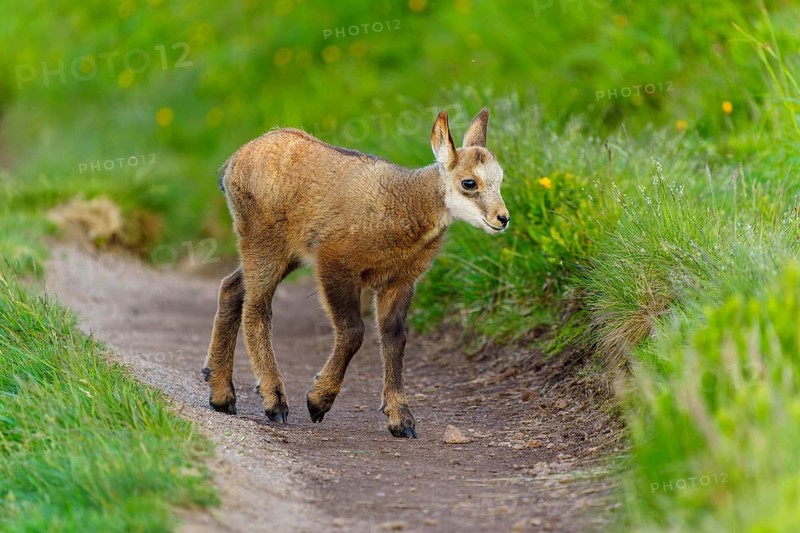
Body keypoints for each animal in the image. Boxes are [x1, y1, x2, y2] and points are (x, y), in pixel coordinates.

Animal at [202, 108, 509, 438]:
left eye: (500, 180)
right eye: (469, 183)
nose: (502, 218)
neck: (405, 203)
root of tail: (233, 163)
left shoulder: (399, 281)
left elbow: (395, 338)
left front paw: (402, 420)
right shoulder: (335, 263)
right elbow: (353, 332)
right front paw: (318, 402)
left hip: (286, 254)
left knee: (232, 288)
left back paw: (221, 394)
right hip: (264, 242)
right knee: (257, 308)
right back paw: (275, 401)